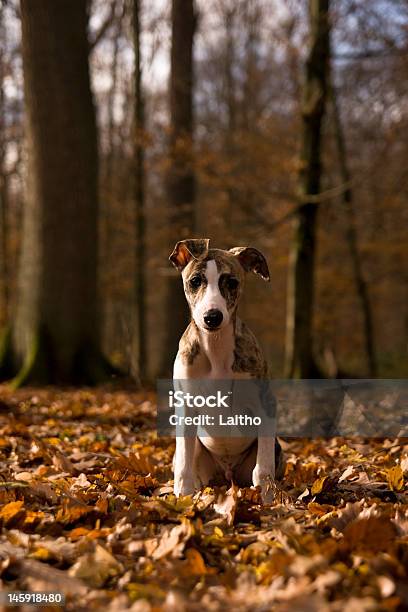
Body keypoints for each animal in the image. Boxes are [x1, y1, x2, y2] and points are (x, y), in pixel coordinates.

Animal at [170, 239, 284, 502]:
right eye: (195, 281)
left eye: (231, 282)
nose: (212, 317)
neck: (216, 348)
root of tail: (227, 472)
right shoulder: (186, 407)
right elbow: (183, 465)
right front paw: (182, 497)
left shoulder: (265, 404)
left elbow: (263, 468)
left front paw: (267, 499)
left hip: (276, 450)